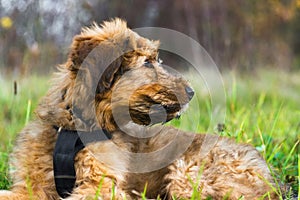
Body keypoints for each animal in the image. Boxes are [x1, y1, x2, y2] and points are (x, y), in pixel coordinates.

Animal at [0, 18, 278, 198]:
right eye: (147, 63)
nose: (191, 92)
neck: (77, 128)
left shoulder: (102, 186)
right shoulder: (31, 185)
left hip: (187, 172)